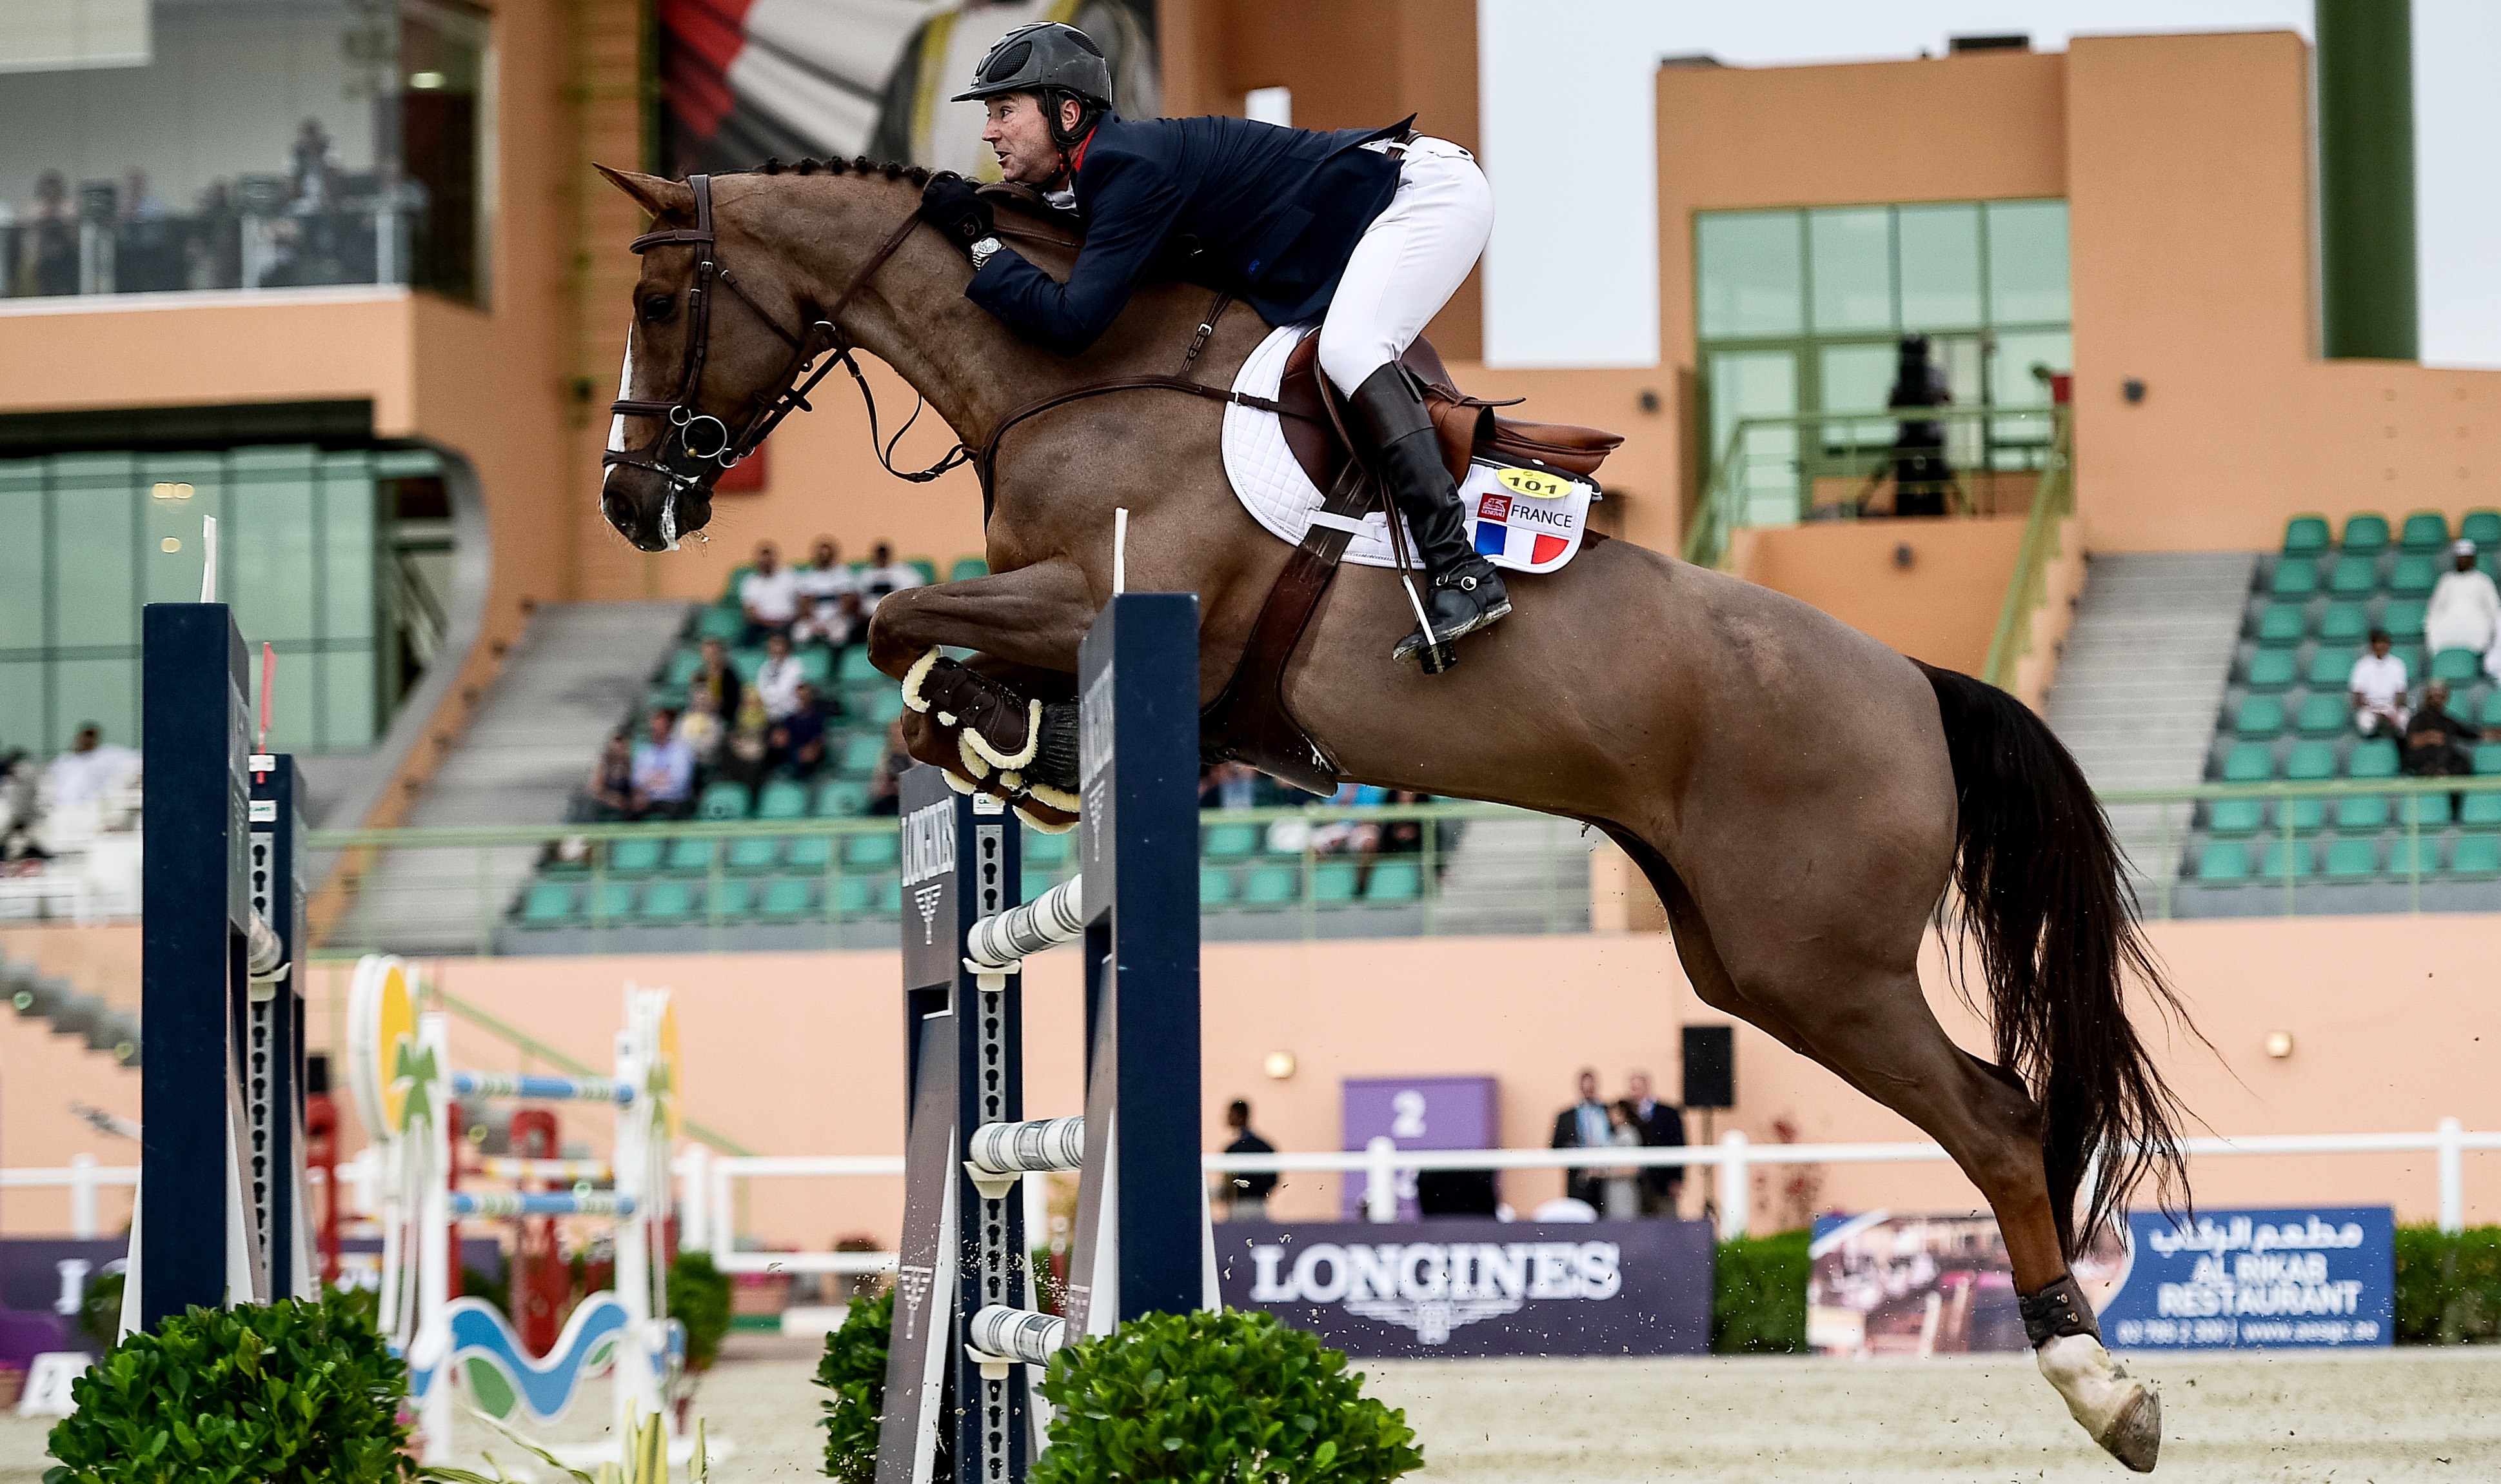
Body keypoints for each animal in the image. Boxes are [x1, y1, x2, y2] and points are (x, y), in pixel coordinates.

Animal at [600, 165, 2191, 1471]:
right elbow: (913, 644)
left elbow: (892, 618)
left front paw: (1001, 735)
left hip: (1820, 969)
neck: (1076, 377)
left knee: (1997, 1119)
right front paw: (1007, 746)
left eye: (660, 298)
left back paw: (2098, 1383)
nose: (630, 503)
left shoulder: (1092, 596)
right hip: (1739, 959)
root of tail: (1916, 681)